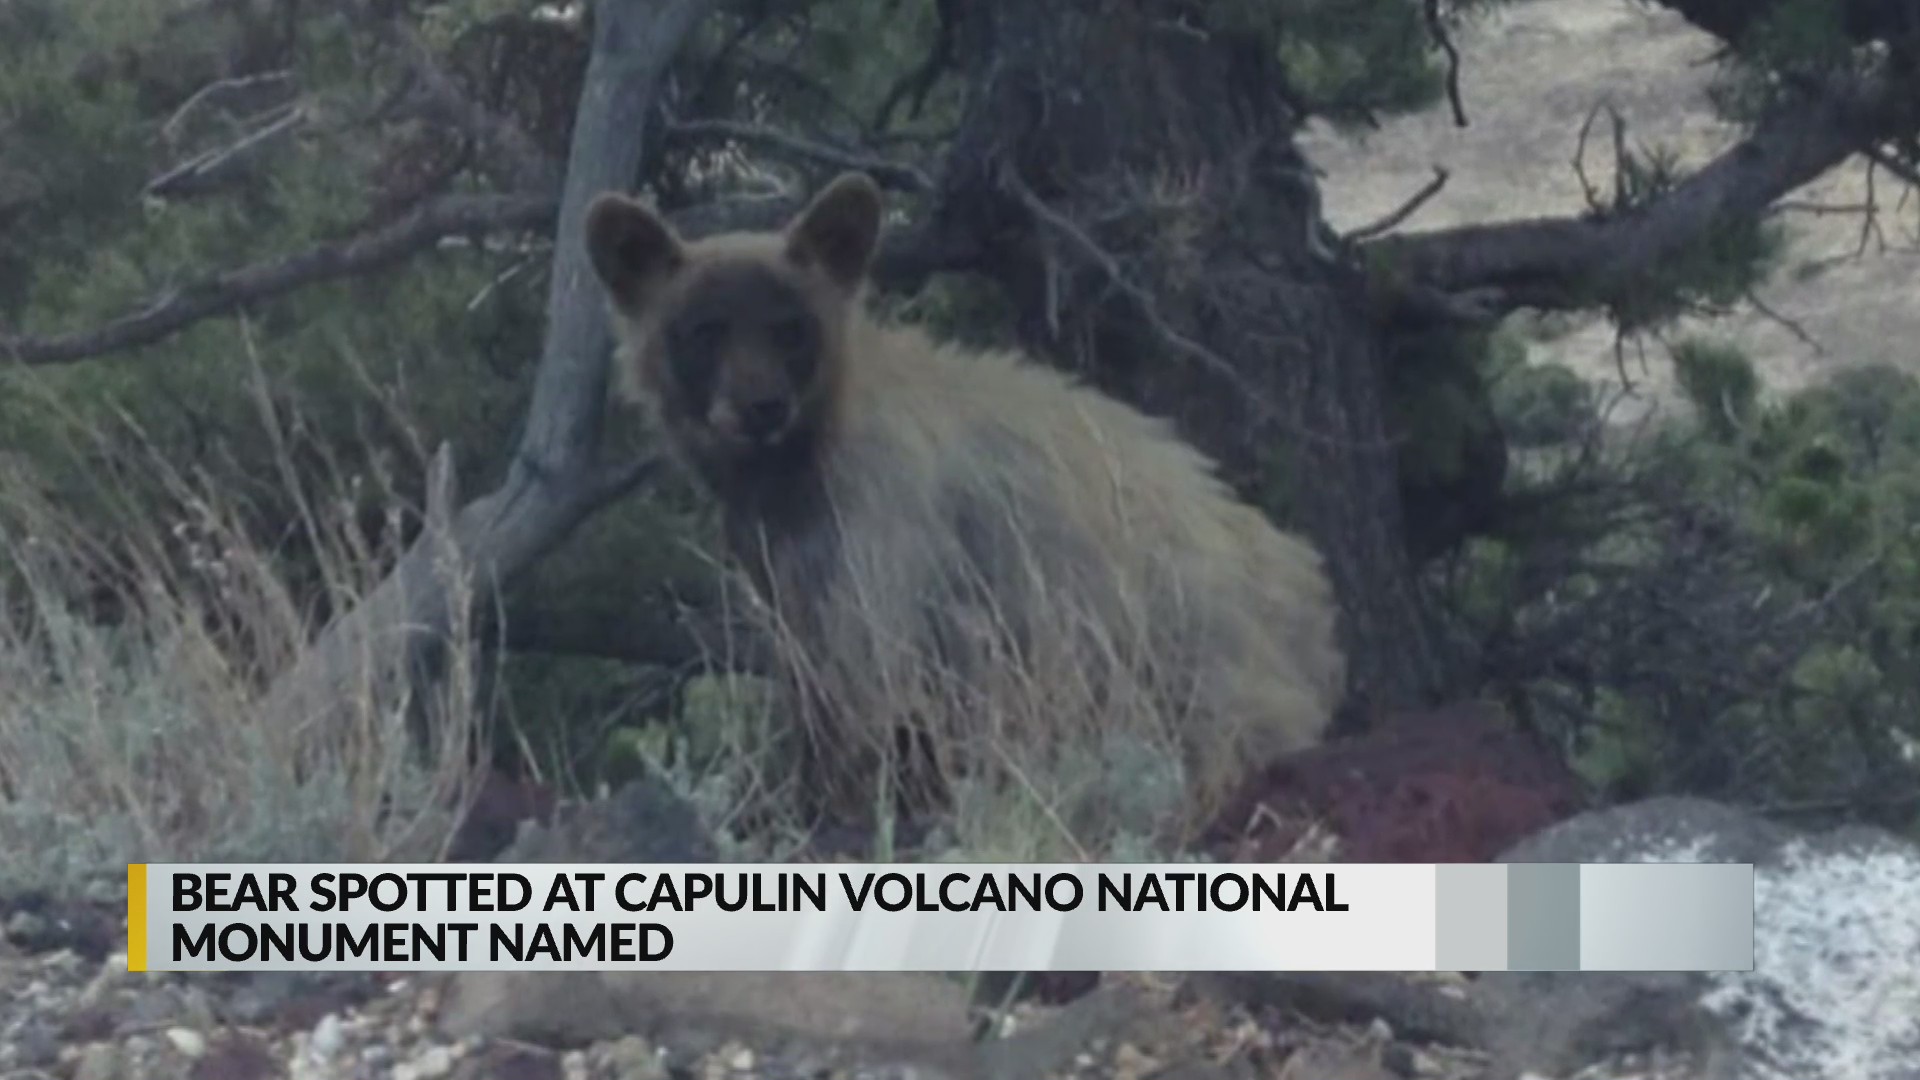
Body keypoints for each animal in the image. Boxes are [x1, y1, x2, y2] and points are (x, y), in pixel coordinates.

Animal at [583, 172, 1345, 851]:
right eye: (704, 329)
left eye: (792, 327)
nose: (761, 408)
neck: (801, 465)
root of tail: (1314, 615)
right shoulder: (782, 568)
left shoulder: (885, 523)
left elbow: (869, 680)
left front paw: (817, 808)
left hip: (1181, 660)